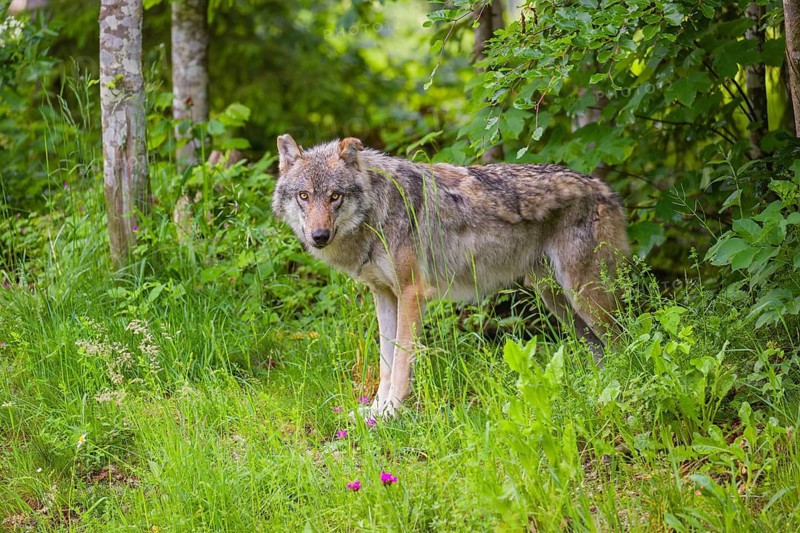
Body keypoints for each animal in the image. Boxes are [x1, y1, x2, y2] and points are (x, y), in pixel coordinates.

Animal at [272, 135, 629, 417]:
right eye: (304, 196)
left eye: (335, 196)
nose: (319, 236)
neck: (377, 213)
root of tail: (603, 187)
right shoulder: (384, 294)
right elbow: (385, 363)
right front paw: (373, 412)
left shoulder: (412, 293)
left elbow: (400, 363)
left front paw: (390, 413)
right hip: (557, 301)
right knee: (601, 349)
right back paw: (602, 387)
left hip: (584, 295)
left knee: (624, 339)